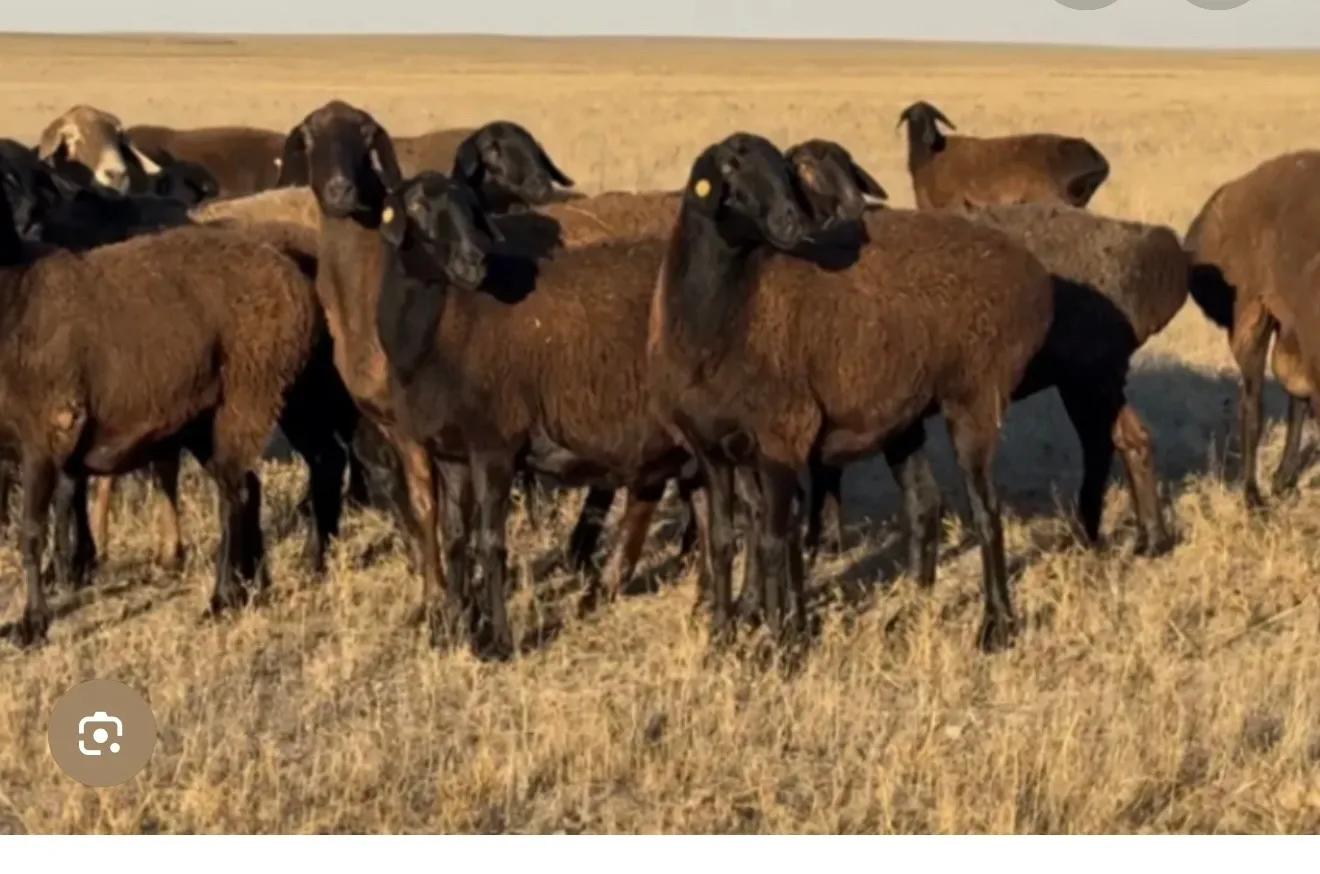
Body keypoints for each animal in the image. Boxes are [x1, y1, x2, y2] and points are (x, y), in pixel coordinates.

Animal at [0, 161, 357, 584]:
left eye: (34, 213)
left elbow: (101, 479)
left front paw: (83, 559)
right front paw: (78, 559)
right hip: (300, 391)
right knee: (325, 457)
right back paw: (310, 558)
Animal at [646, 132, 1054, 653]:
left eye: (785, 170)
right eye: (730, 169)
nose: (791, 222)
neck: (726, 310)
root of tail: (1030, 269)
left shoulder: (783, 437)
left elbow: (773, 539)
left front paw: (779, 646)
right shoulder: (712, 449)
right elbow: (721, 540)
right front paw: (721, 636)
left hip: (975, 395)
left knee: (987, 511)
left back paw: (996, 626)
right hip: (904, 414)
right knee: (924, 504)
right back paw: (911, 616)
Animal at [896, 100, 1110, 211]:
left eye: (932, 117)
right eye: (913, 117)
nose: (928, 136)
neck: (929, 156)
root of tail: (1100, 160)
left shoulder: (949, 202)